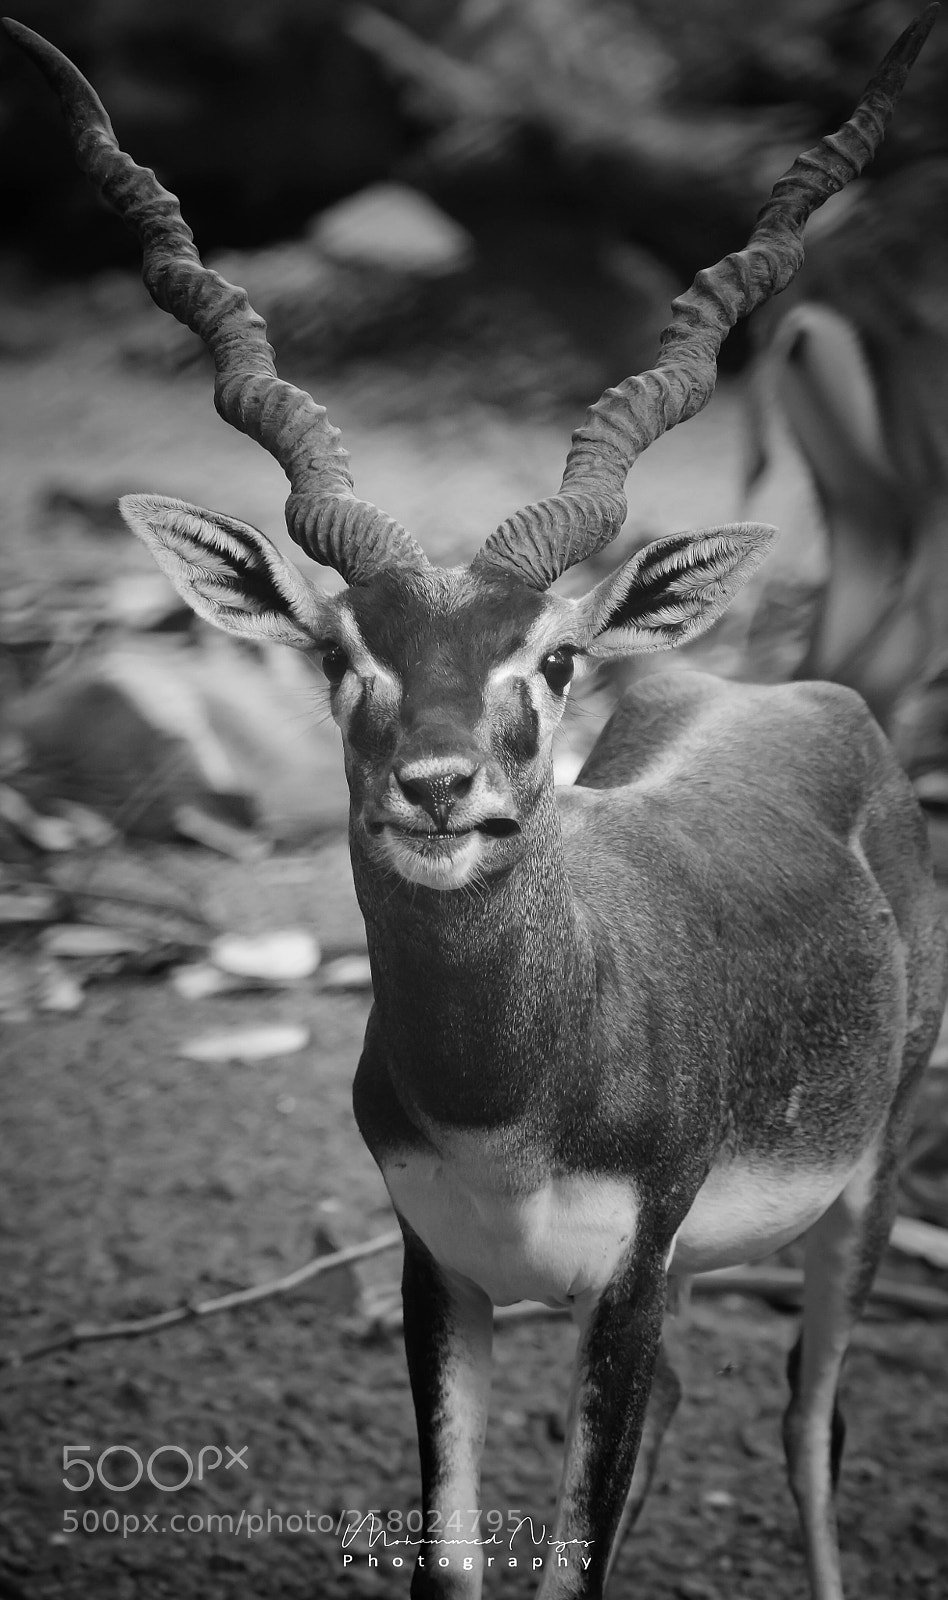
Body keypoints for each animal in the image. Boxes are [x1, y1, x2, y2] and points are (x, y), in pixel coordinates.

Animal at [5, 10, 946, 1599]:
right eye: (341, 654)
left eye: (550, 658)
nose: (440, 789)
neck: (508, 1093)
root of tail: (804, 699)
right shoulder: (440, 1269)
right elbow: (456, 1561)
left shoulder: (625, 1280)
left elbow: (576, 1562)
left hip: (866, 1179)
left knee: (811, 1425)